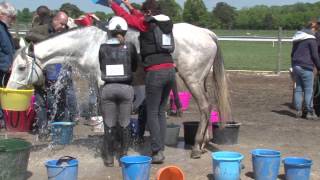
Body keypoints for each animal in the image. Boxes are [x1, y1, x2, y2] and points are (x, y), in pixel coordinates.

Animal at [6, 23, 230, 158]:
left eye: (21, 67)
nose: (9, 90)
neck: (88, 44)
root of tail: (207, 33)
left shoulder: (102, 84)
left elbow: (108, 117)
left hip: (192, 80)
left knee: (204, 107)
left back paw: (197, 147)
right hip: (200, 80)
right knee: (208, 106)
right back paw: (204, 142)